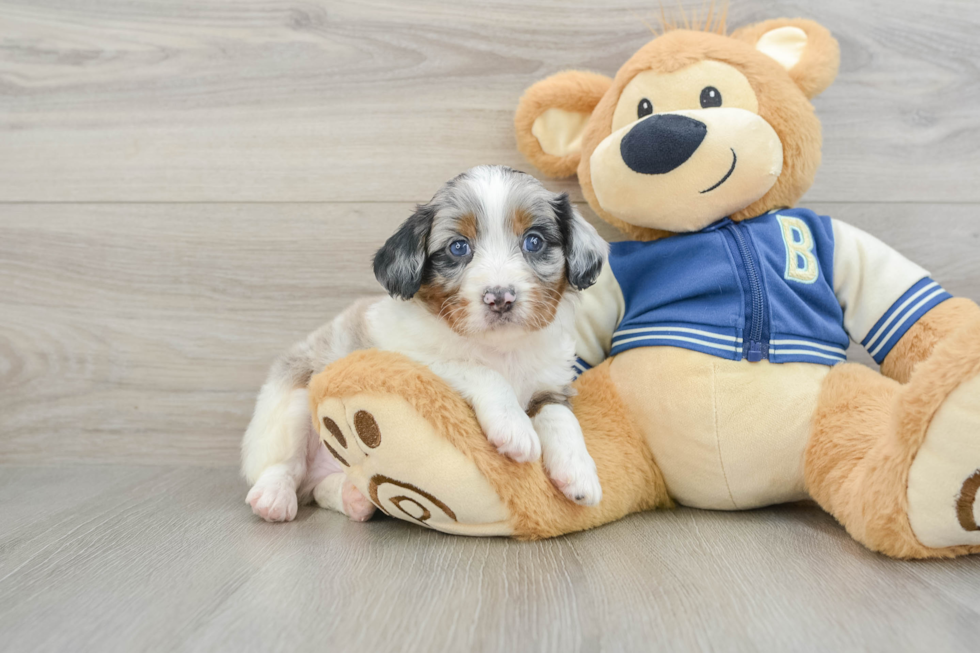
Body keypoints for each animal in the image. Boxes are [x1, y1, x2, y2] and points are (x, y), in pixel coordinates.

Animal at [239, 166, 604, 524]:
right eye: (458, 247)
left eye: (534, 241)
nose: (500, 297)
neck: (500, 349)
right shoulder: (409, 357)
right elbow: (482, 373)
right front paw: (514, 426)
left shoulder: (550, 384)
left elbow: (560, 417)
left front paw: (579, 471)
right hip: (294, 400)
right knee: (285, 464)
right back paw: (274, 496)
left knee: (318, 489)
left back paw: (353, 498)